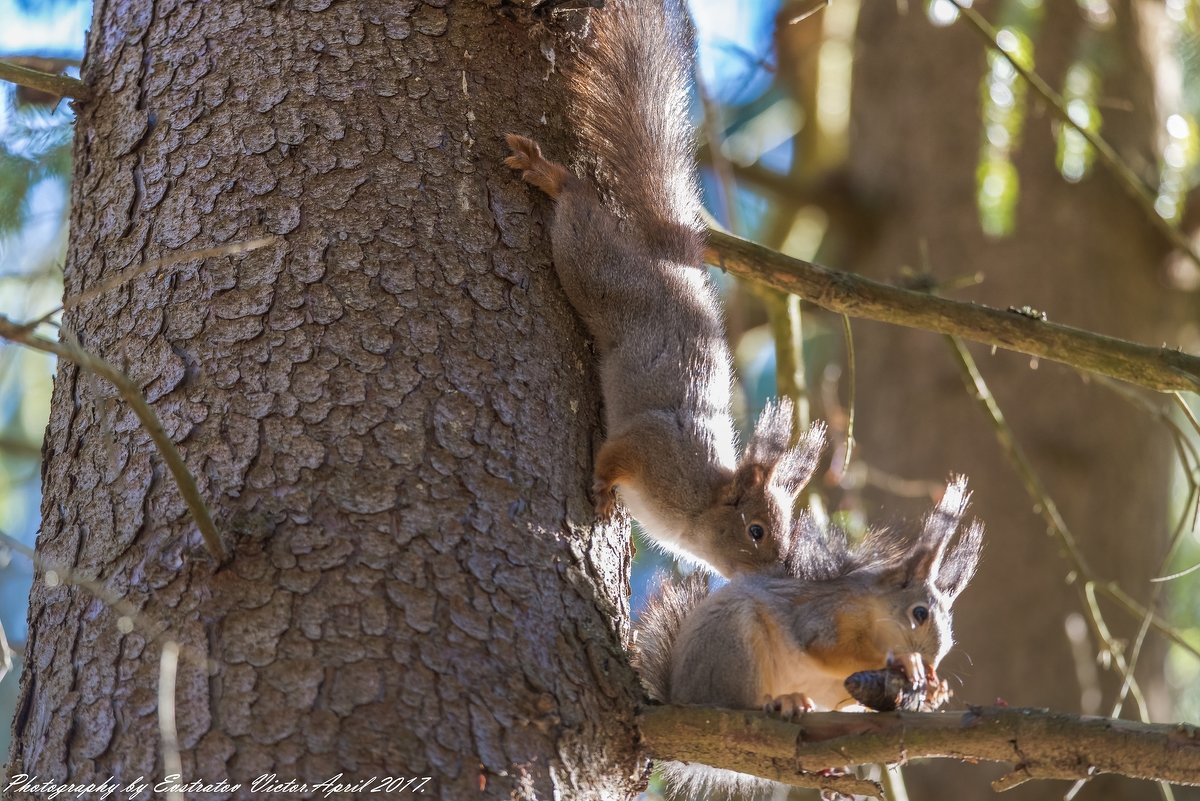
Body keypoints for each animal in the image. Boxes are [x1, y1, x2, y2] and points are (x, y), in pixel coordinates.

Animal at [501, 0, 820, 575]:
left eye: (787, 542)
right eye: (756, 531)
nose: (777, 578)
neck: (700, 506)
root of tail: (673, 263)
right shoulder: (652, 447)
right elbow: (615, 455)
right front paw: (602, 490)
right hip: (599, 274)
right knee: (580, 212)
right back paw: (549, 175)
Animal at [638, 479, 984, 796]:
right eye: (920, 613)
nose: (931, 663)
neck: (872, 614)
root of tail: (680, 697)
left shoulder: (833, 687)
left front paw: (931, 691)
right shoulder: (821, 616)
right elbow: (828, 649)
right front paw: (907, 663)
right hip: (733, 648)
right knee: (735, 707)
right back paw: (779, 702)